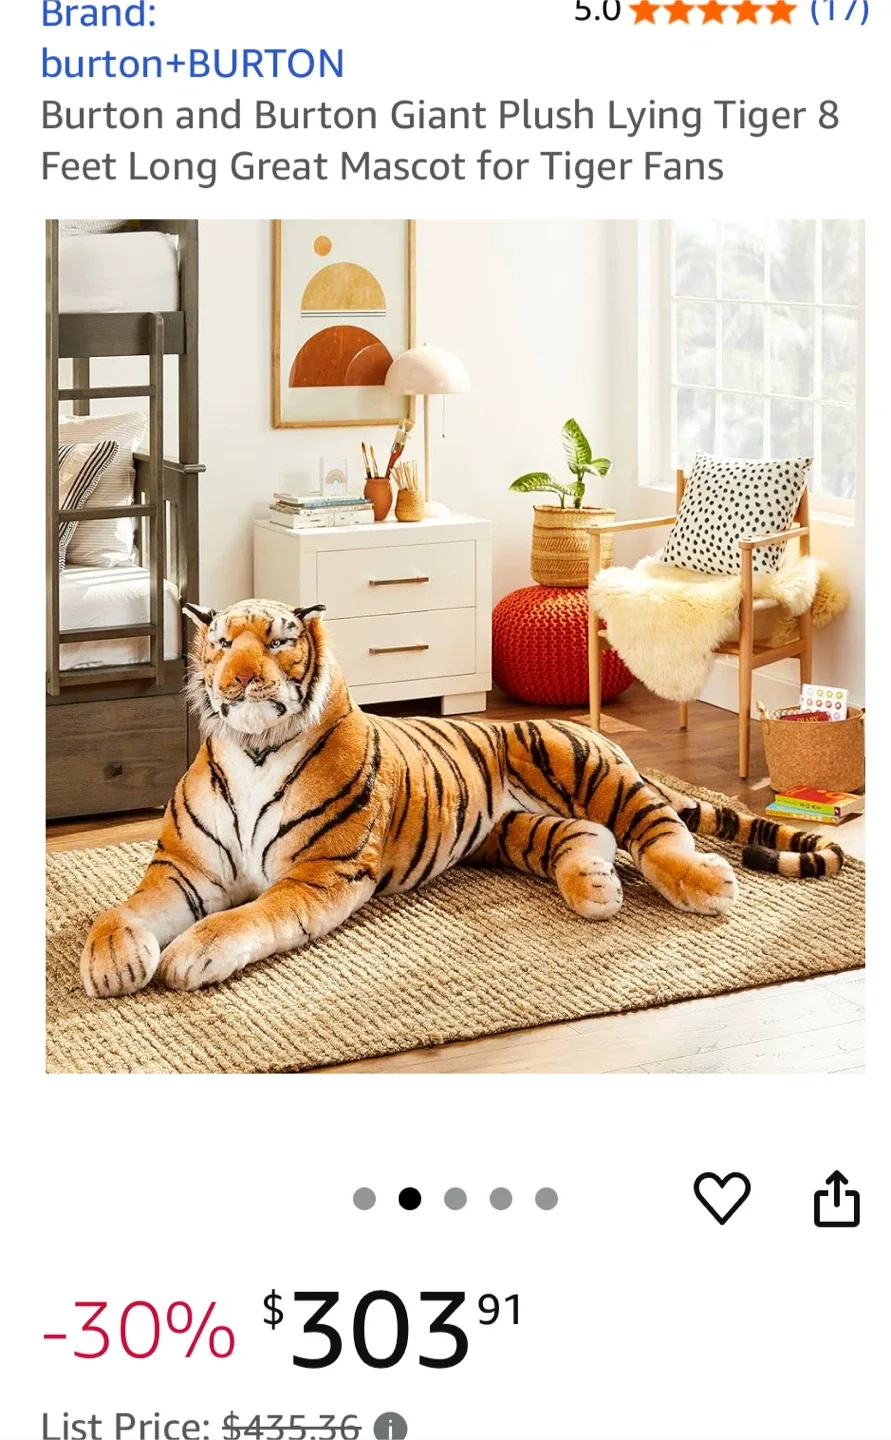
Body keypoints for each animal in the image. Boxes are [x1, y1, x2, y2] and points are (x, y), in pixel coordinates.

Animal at [80, 598, 845, 998]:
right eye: (218, 642)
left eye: (278, 641)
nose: (237, 680)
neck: (253, 750)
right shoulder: (185, 869)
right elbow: (123, 910)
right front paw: (114, 960)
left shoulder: (318, 873)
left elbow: (246, 917)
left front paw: (188, 955)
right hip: (514, 832)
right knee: (589, 838)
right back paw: (597, 890)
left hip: (585, 767)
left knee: (656, 830)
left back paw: (706, 883)